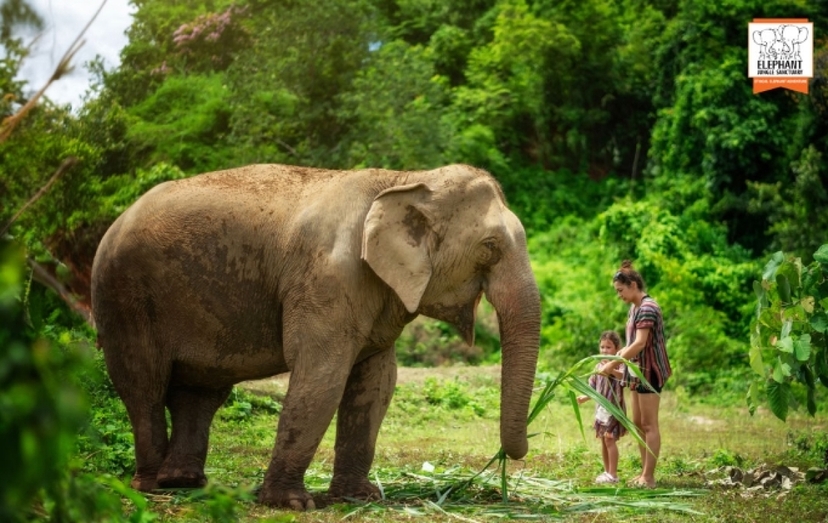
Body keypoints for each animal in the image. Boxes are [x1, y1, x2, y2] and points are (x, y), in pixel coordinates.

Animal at [90, 163, 541, 509]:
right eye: (489, 246)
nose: (513, 456)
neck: (407, 178)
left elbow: (377, 382)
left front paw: (360, 498)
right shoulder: (328, 278)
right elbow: (322, 374)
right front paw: (291, 504)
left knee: (198, 393)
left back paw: (186, 483)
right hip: (123, 294)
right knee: (143, 383)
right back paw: (152, 487)